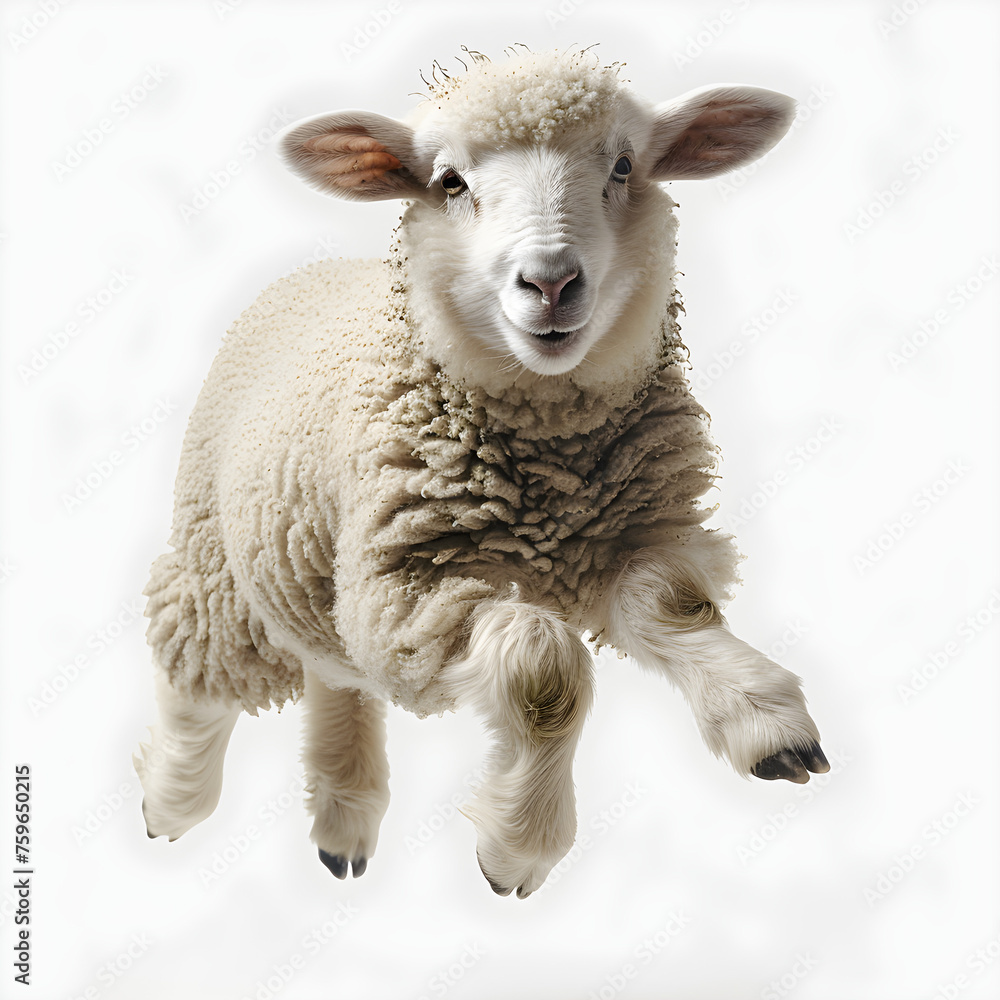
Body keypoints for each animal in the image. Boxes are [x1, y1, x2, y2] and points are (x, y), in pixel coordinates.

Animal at [135, 47, 828, 899]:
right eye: (449, 182)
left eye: (624, 165)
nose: (551, 281)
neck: (552, 471)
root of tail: (306, 271)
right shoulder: (404, 586)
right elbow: (543, 668)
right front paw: (520, 844)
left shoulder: (637, 528)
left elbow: (675, 607)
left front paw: (766, 722)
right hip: (223, 561)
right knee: (194, 666)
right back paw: (172, 798)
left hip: (318, 573)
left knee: (337, 672)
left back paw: (343, 820)